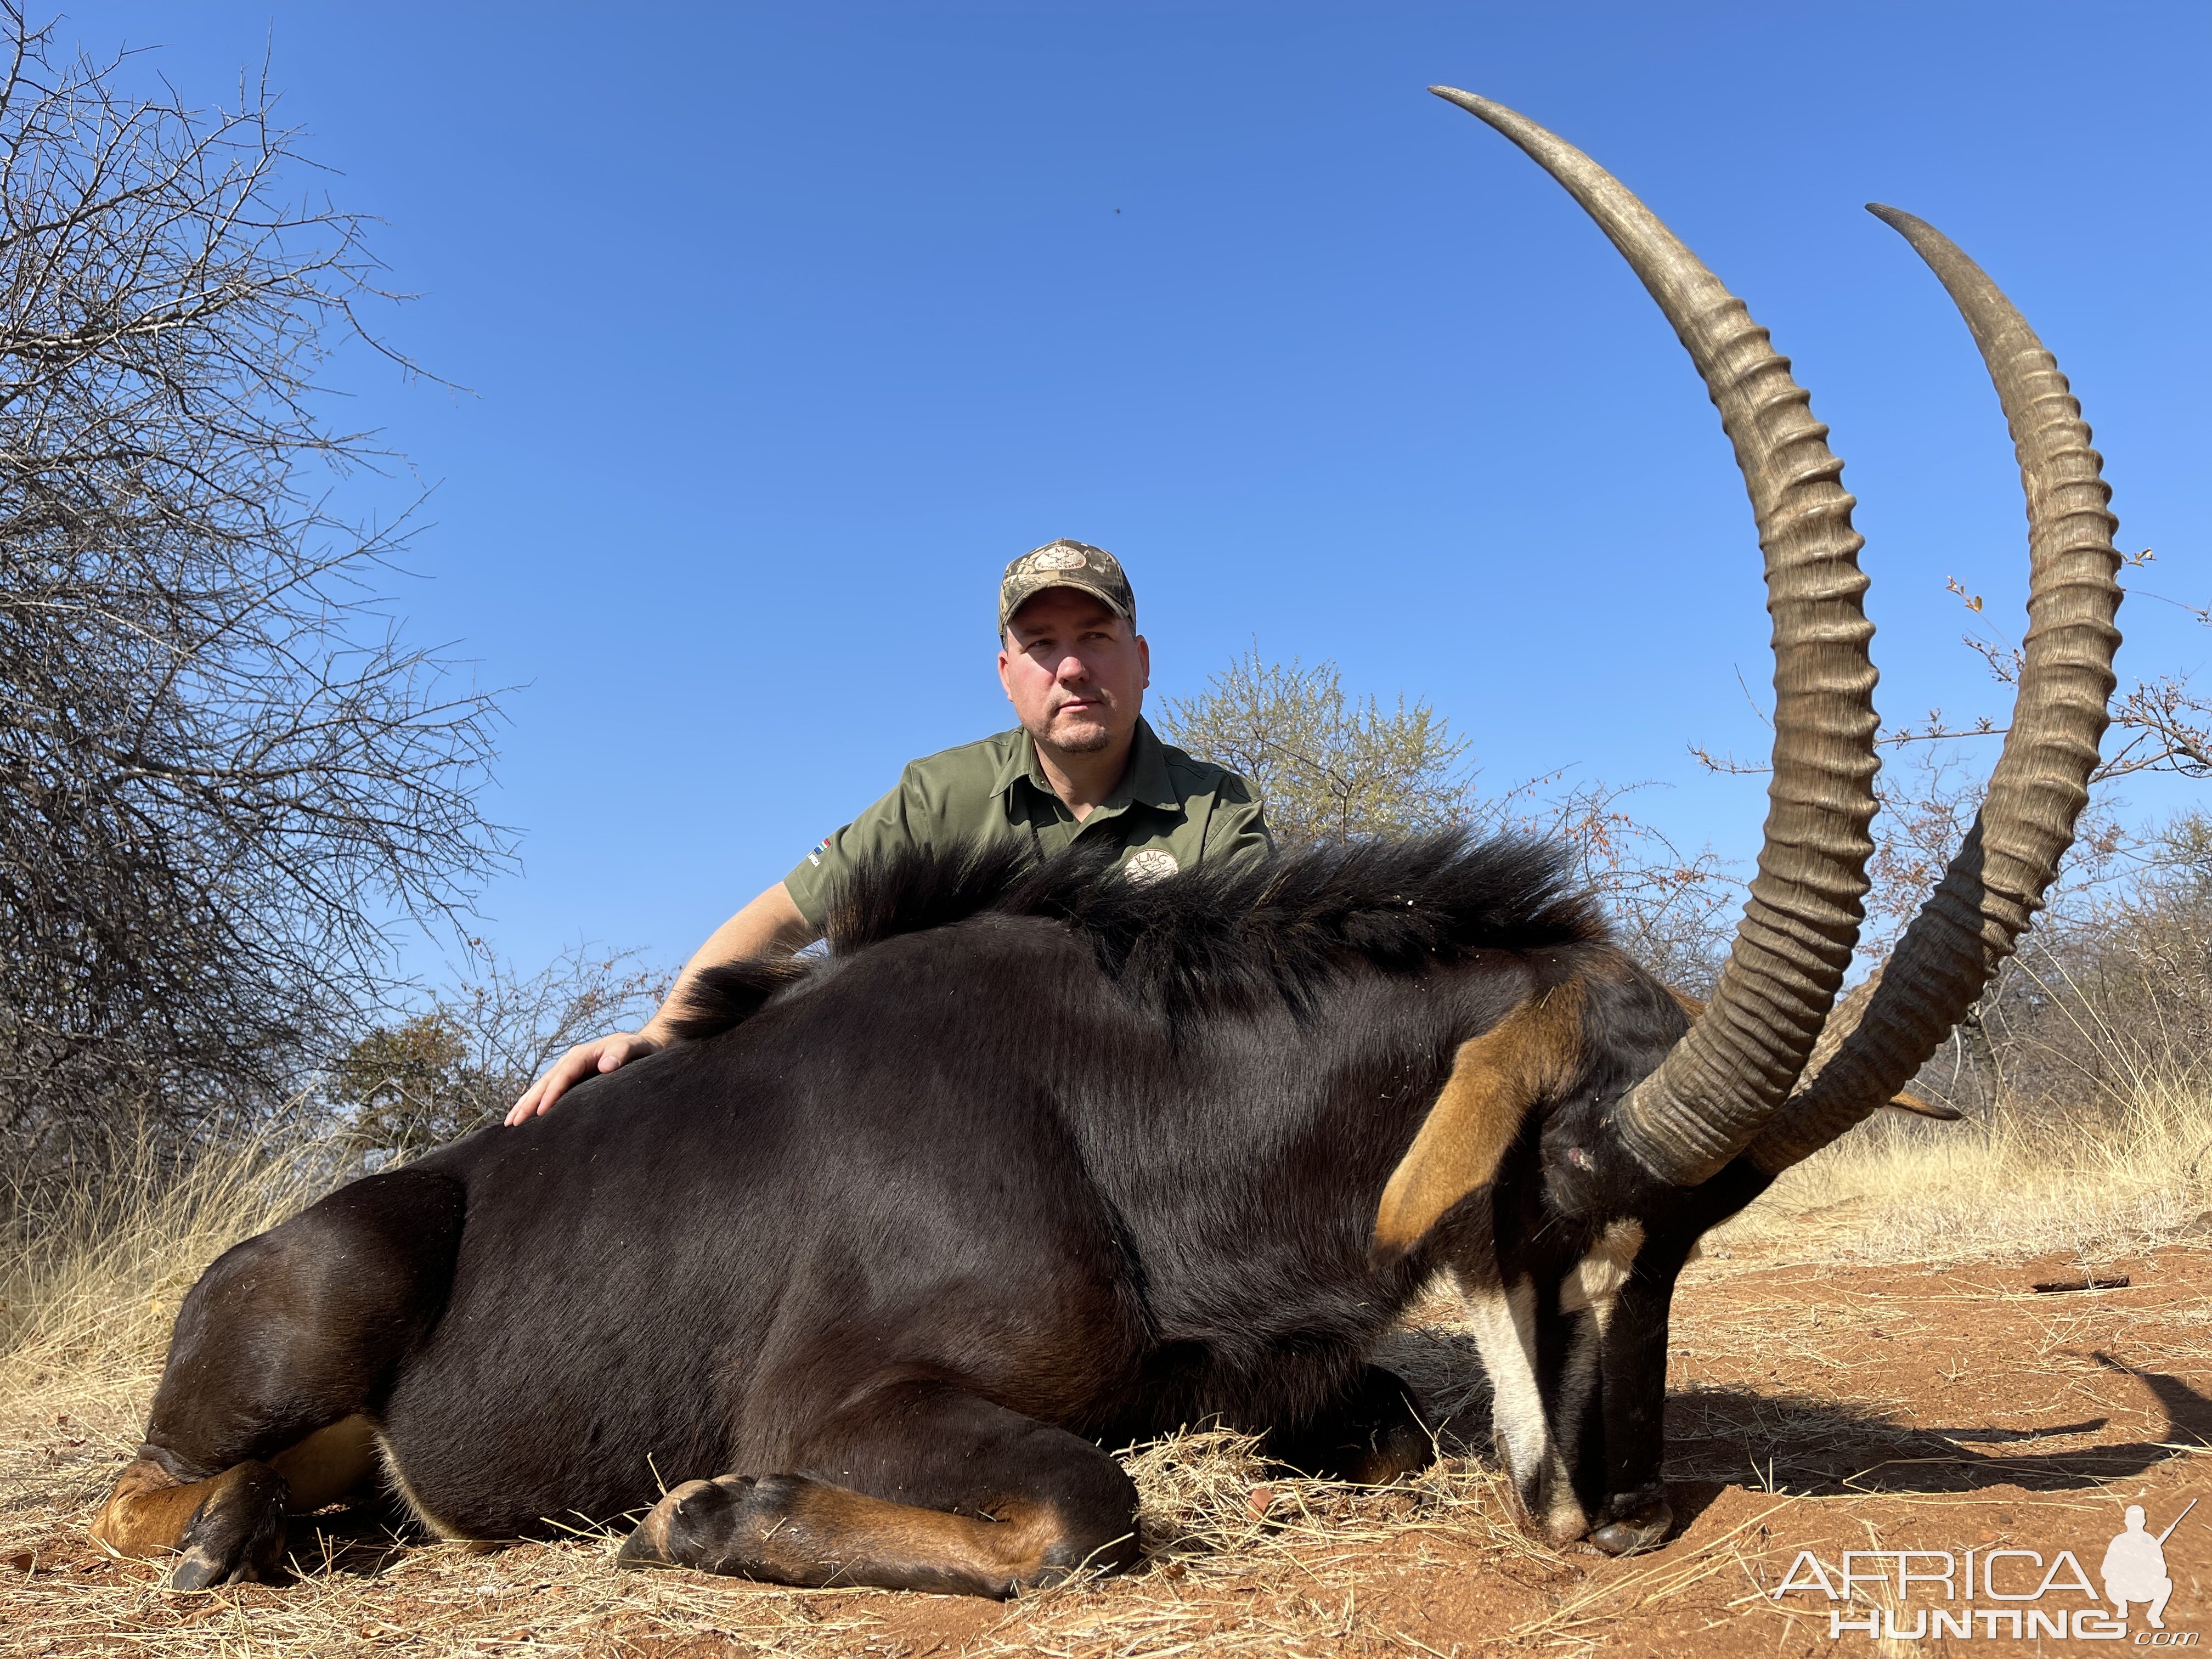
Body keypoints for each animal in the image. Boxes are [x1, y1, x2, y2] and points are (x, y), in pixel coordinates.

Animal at [91, 94, 2123, 1601]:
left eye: (1697, 1243)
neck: (1119, 1122)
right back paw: (225, 1535)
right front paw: (701, 1514)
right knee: (149, 1494)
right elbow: (1091, 1506)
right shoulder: (845, 1396)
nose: (1615, 1513)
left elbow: (1365, 1423)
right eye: (1556, 1205)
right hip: (311, 1317)